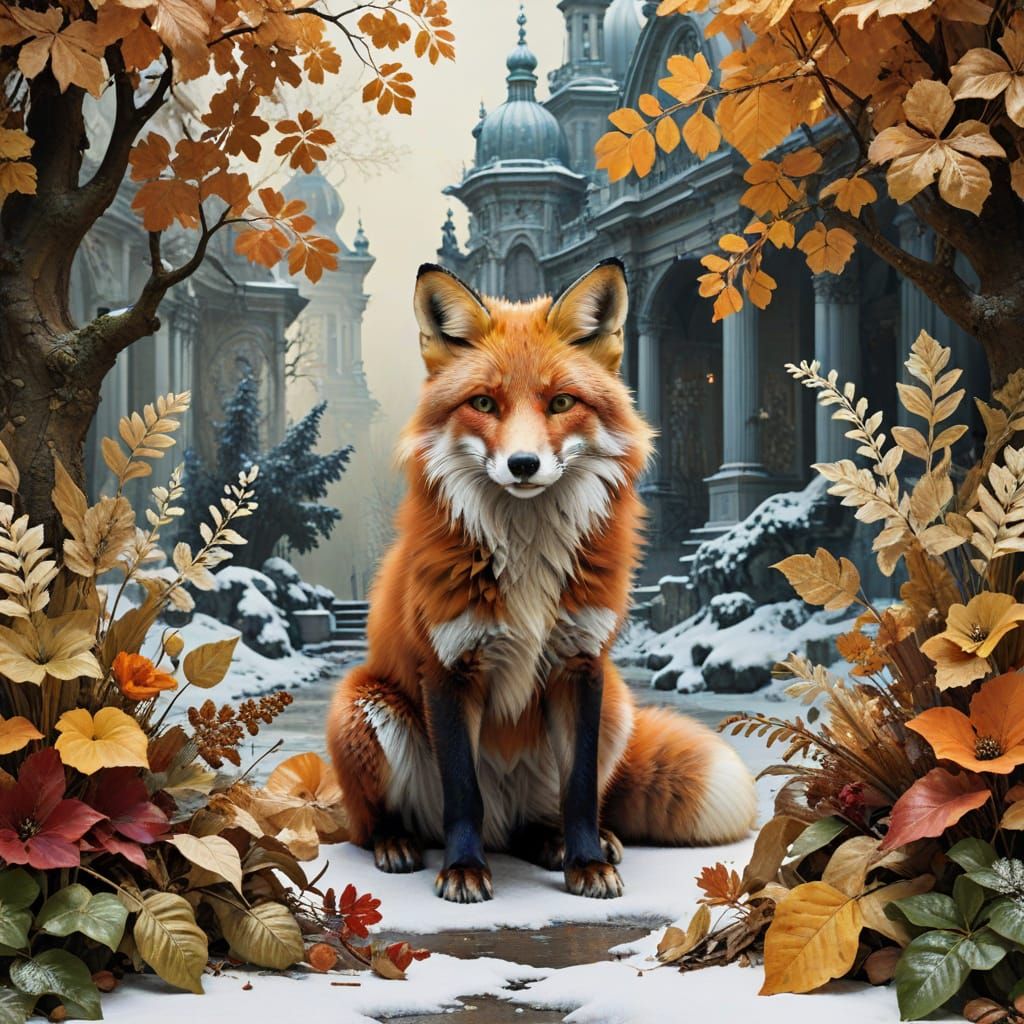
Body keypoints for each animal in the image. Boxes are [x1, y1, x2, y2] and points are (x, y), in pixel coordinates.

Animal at [327, 257, 757, 903]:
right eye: (483, 402)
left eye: (560, 402)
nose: (523, 465)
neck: (526, 557)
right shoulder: (449, 667)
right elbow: (463, 795)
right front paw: (462, 870)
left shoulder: (580, 663)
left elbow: (578, 791)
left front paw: (586, 863)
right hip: (363, 708)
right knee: (376, 823)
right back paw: (397, 843)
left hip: (616, 709)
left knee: (547, 816)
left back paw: (565, 843)